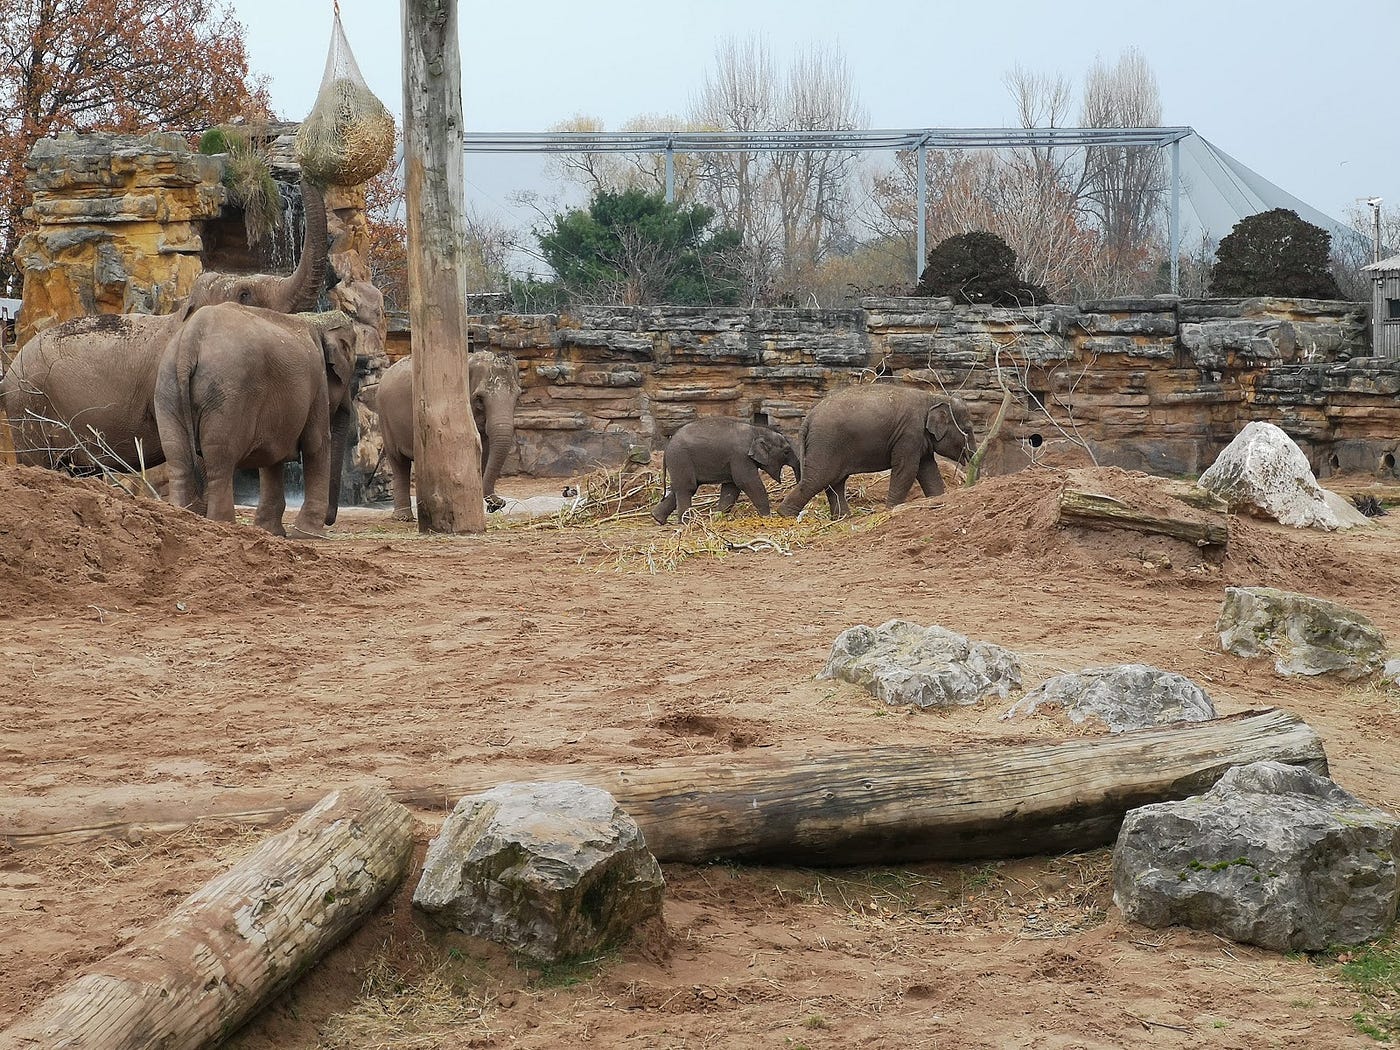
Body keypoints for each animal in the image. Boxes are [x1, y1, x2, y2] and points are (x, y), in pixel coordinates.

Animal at [154, 305, 357, 538]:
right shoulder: (318, 385)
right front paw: (310, 534)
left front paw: (272, 532)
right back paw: (224, 525)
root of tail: (190, 340)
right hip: (227, 395)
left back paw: (183, 520)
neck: (316, 320)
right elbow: (317, 444)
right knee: (220, 462)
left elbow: (272, 456)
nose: (330, 521)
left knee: (179, 460)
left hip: (167, 391)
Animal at [371, 351, 522, 519]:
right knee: (398, 461)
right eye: (479, 399)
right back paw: (403, 517)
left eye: (518, 397)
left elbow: (484, 452)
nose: (498, 504)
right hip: (385, 420)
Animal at [652, 417, 801, 524]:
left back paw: (657, 518)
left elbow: (732, 487)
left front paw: (719, 517)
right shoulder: (740, 456)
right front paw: (767, 516)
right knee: (687, 488)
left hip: (679, 462)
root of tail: (667, 446)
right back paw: (687, 523)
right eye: (786, 451)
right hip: (681, 459)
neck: (757, 429)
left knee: (679, 488)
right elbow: (747, 482)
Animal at [778, 384, 976, 519]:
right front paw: (891, 509)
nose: (971, 455)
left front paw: (938, 498)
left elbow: (927, 470)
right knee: (818, 478)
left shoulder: (919, 439)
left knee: (835, 482)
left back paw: (844, 518)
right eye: (968, 429)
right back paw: (785, 514)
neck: (933, 398)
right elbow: (907, 469)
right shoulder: (909, 434)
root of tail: (808, 419)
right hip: (826, 443)